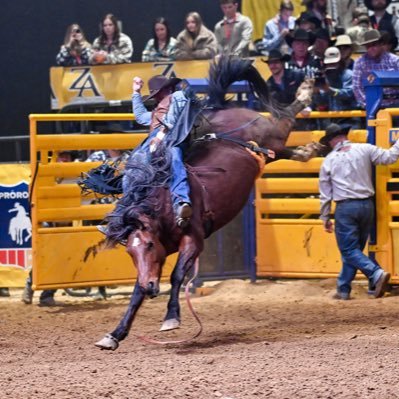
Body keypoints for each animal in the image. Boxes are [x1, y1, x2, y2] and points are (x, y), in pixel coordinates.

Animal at [94, 56, 318, 350]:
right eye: (130, 252)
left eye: (149, 245)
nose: (151, 287)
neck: (164, 207)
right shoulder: (155, 259)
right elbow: (136, 293)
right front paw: (114, 334)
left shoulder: (194, 238)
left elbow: (177, 275)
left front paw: (171, 318)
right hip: (269, 150)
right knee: (283, 148)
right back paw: (308, 150)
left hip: (269, 132)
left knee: (285, 118)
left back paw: (305, 91)